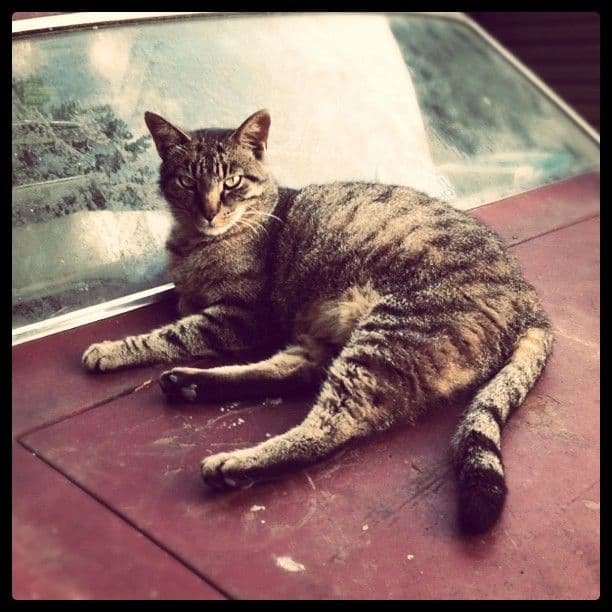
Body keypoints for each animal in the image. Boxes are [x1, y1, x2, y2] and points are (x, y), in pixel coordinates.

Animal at [79, 110, 552, 536]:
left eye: (232, 182)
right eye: (188, 182)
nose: (209, 211)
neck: (197, 244)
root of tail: (528, 294)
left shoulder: (242, 316)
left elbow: (172, 334)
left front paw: (112, 349)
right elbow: (181, 306)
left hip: (387, 335)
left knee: (331, 425)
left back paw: (235, 462)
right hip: (333, 332)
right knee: (298, 371)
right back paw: (192, 384)